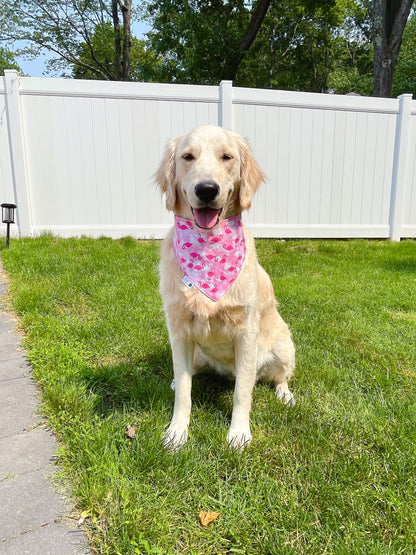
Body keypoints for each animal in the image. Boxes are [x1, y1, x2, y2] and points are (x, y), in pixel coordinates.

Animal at [156, 126, 296, 452]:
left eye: (227, 157)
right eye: (187, 156)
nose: (206, 189)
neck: (209, 247)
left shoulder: (246, 333)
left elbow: (242, 392)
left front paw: (239, 433)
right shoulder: (179, 332)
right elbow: (184, 393)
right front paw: (177, 432)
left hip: (284, 345)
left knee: (280, 377)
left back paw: (285, 395)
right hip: (197, 354)